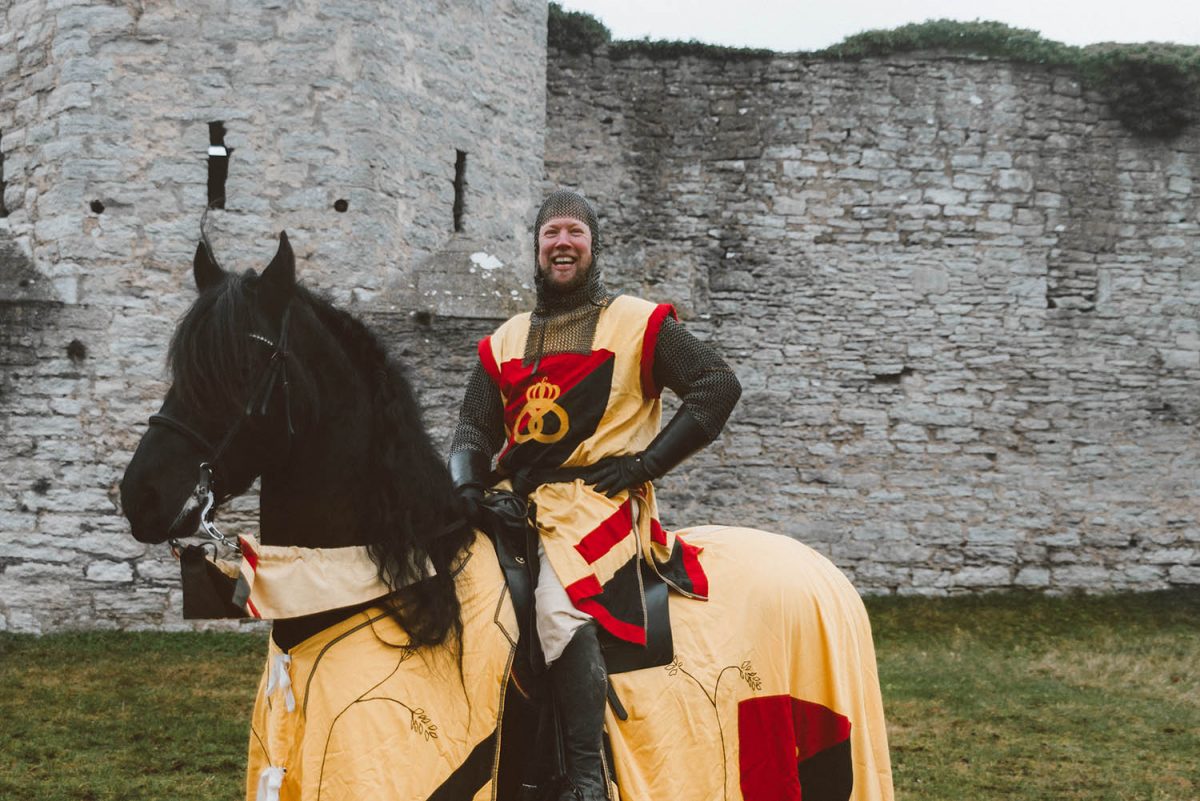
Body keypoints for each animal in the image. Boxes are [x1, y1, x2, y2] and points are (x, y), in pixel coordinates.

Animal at [121, 231, 897, 801]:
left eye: (241, 369)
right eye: (179, 363)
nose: (143, 495)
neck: (407, 593)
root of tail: (825, 572)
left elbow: (715, 385)